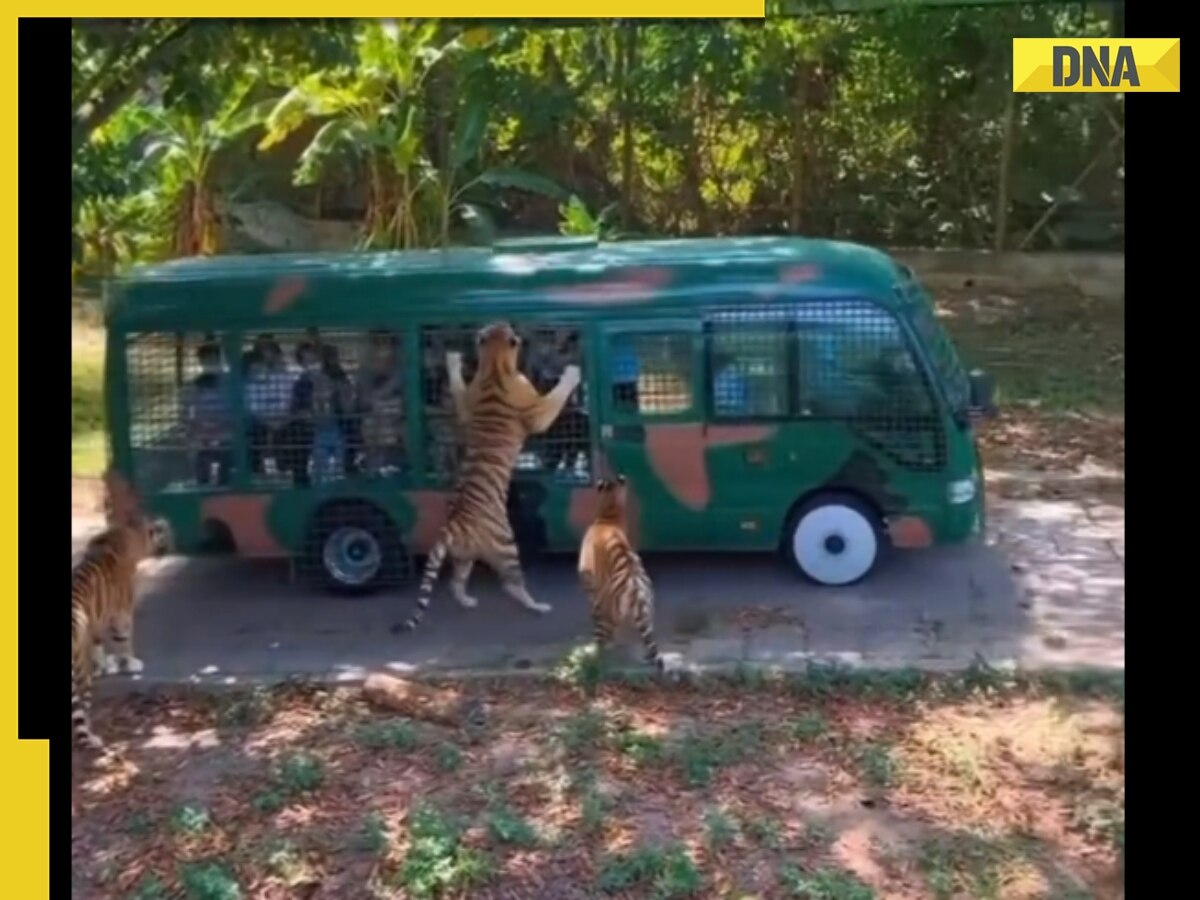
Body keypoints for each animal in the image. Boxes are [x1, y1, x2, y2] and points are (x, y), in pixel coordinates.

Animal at [71, 513, 171, 753]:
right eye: (162, 531)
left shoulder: (96, 620)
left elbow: (98, 644)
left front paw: (104, 666)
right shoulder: (121, 614)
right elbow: (124, 641)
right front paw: (130, 664)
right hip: (79, 673)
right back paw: (91, 738)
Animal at [388, 321, 580, 633]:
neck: (493, 363)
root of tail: (452, 525)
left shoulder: (467, 404)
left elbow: (458, 389)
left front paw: (452, 361)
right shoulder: (536, 413)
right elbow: (554, 398)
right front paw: (572, 373)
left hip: (463, 555)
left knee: (455, 583)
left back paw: (468, 601)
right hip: (506, 545)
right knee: (511, 584)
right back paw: (537, 606)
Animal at [578, 480, 672, 676]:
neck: (609, 516)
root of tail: (634, 587)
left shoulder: (589, 581)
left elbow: (593, 605)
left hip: (607, 612)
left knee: (601, 638)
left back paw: (591, 657)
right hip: (647, 611)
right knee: (648, 639)